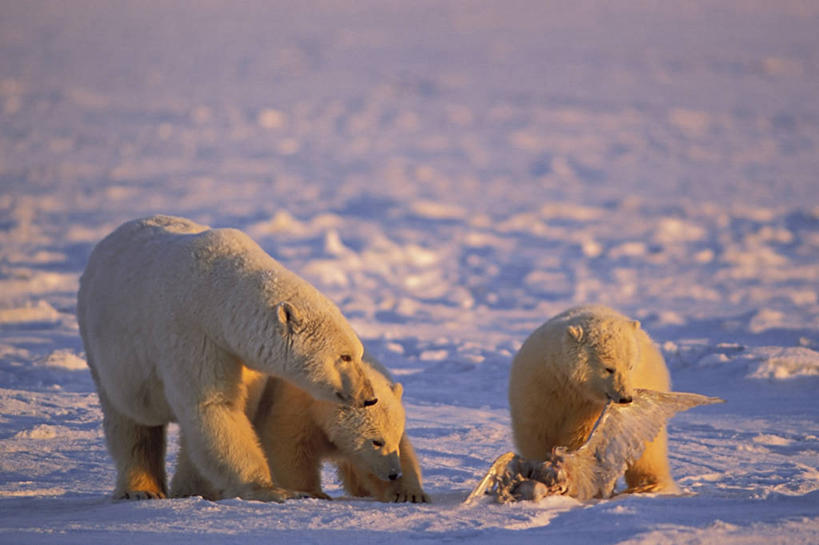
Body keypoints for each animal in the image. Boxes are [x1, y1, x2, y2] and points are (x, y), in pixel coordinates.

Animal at [77, 214, 378, 502]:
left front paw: (196, 489)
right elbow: (215, 406)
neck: (218, 295)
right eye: (345, 356)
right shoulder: (194, 335)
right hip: (106, 349)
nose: (369, 397)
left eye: (357, 354)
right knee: (130, 417)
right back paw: (141, 489)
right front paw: (274, 490)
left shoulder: (244, 358)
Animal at [172, 356, 430, 502]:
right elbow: (289, 447)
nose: (393, 474)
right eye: (376, 441)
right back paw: (192, 491)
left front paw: (408, 494)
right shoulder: (295, 407)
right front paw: (313, 493)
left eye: (394, 438)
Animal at [506, 304, 680, 496]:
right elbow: (537, 431)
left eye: (630, 366)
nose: (626, 398)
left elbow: (583, 438)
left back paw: (649, 485)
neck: (575, 387)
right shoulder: (544, 386)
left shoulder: (590, 407)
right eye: (609, 368)